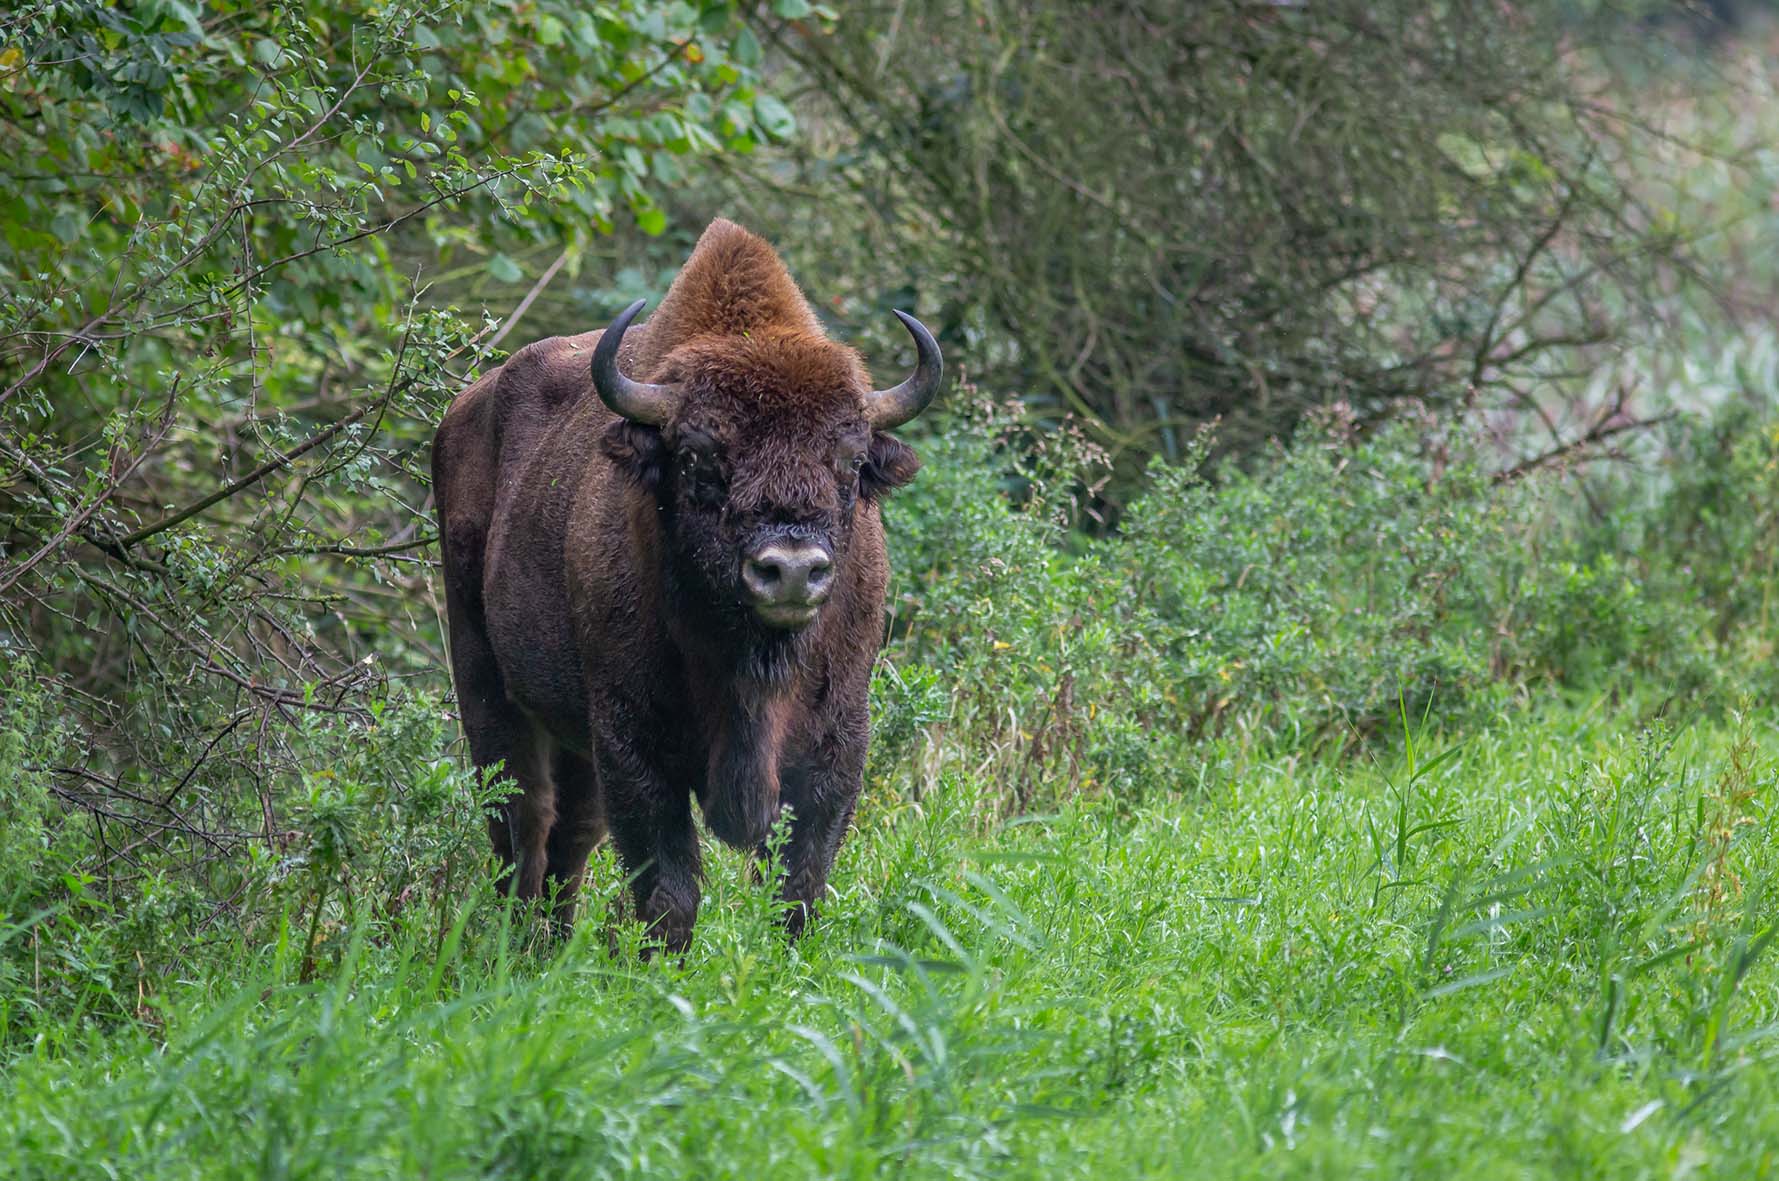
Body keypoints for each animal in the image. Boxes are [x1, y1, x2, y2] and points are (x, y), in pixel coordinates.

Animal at [432, 214, 946, 953]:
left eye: (851, 463)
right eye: (701, 457)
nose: (791, 568)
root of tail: (461, 413)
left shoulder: (835, 749)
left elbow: (797, 889)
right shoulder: (635, 746)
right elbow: (669, 891)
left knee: (568, 839)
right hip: (487, 685)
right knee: (521, 827)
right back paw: (515, 946)